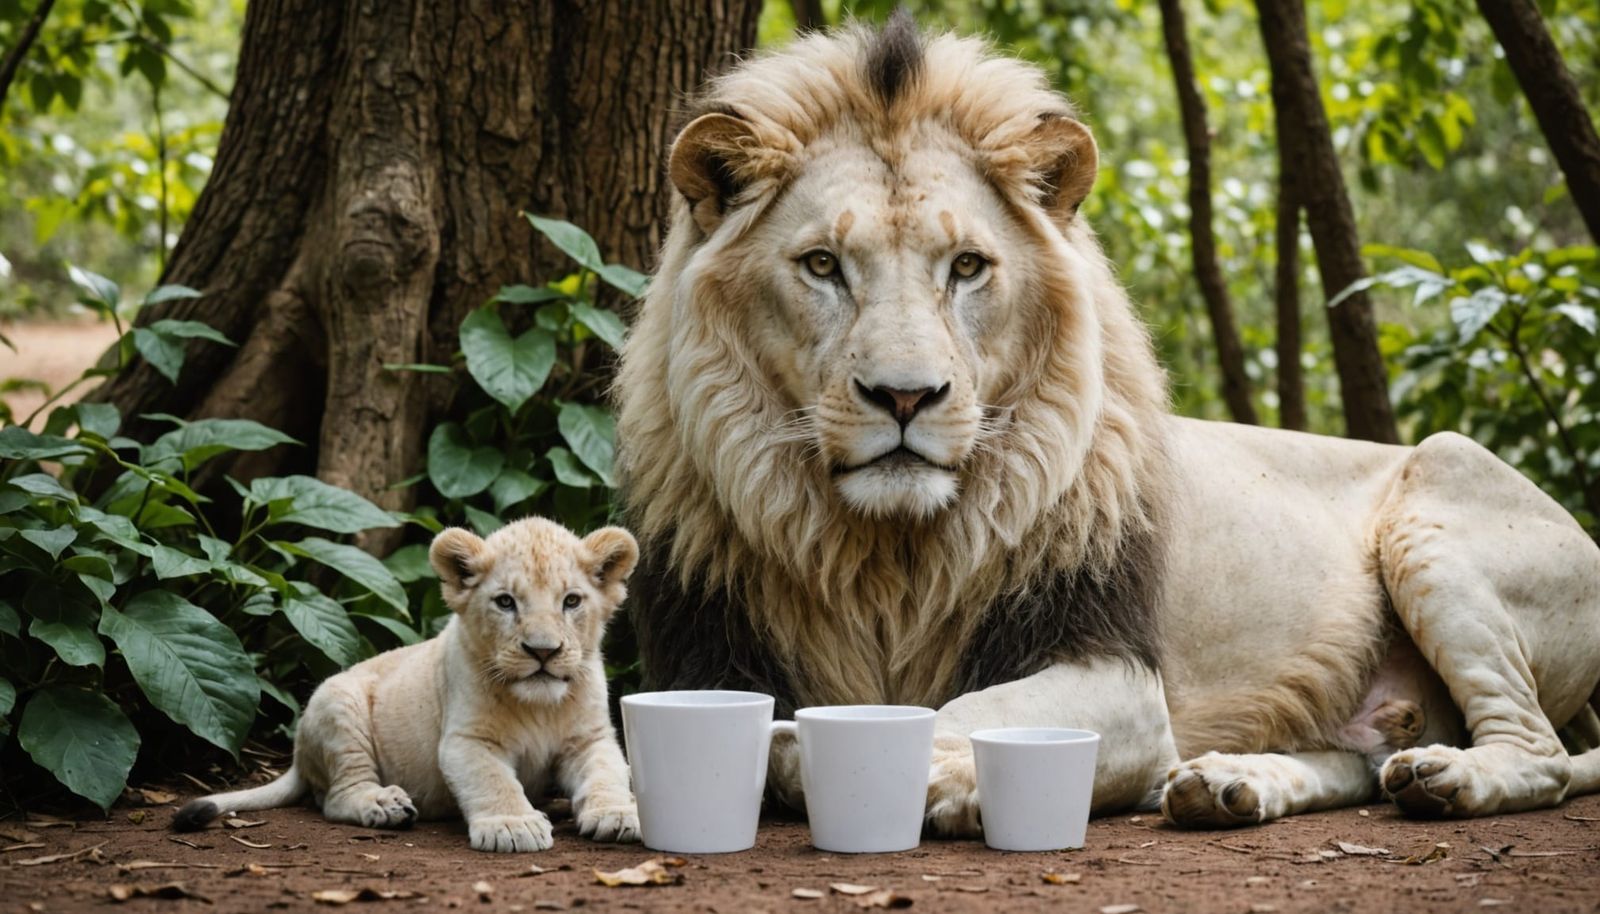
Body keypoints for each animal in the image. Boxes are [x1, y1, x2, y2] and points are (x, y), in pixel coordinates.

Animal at [173, 518, 642, 852]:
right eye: (506, 602)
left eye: (572, 601)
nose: (542, 651)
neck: (540, 705)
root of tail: (298, 757)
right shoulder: (465, 740)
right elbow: (493, 779)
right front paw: (513, 825)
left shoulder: (590, 738)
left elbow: (606, 772)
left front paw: (620, 814)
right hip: (337, 704)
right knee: (337, 796)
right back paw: (385, 804)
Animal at [615, 13, 1600, 831]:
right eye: (823, 264)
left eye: (966, 266)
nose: (905, 397)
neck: (891, 559)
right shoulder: (710, 658)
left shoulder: (1118, 674)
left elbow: (915, 719)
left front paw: (947, 783)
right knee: (1365, 758)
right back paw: (1229, 784)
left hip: (1443, 489)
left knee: (1543, 754)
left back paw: (1446, 777)